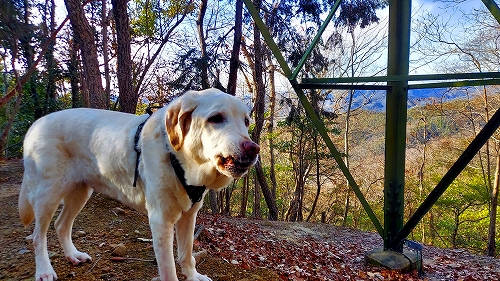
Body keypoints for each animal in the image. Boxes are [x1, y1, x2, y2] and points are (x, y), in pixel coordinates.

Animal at [17, 88, 260, 280]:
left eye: (246, 121)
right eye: (216, 118)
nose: (253, 149)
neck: (178, 159)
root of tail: (35, 125)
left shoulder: (189, 216)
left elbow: (186, 254)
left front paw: (193, 276)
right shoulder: (161, 221)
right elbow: (168, 269)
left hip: (80, 192)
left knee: (61, 225)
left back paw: (73, 255)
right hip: (48, 194)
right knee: (38, 236)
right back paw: (44, 270)